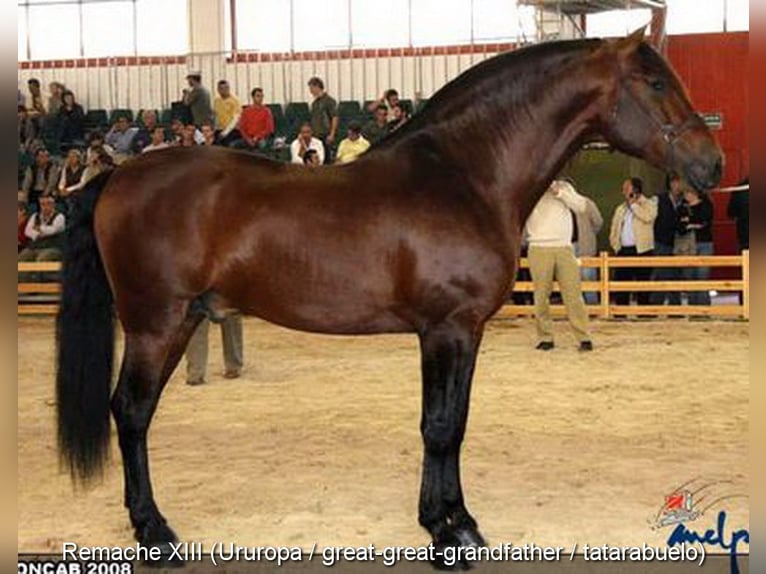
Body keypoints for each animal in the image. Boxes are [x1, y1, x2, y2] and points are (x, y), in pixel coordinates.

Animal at [58, 30, 720, 572]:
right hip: (156, 324)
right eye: (656, 83)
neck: (465, 174)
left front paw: (457, 520)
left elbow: (455, 422)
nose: (711, 165)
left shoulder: (467, 331)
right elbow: (438, 425)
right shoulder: (444, 329)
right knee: (131, 413)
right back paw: (156, 533)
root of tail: (118, 175)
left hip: (177, 321)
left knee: (135, 414)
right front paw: (446, 534)